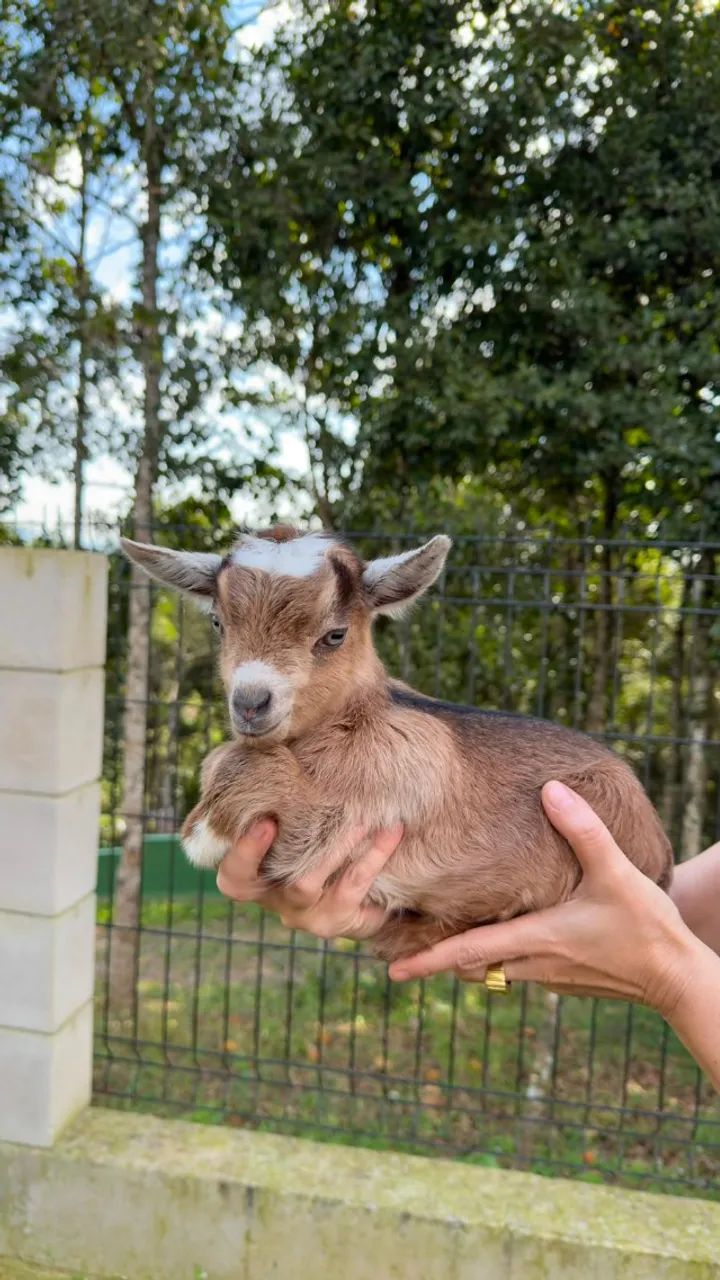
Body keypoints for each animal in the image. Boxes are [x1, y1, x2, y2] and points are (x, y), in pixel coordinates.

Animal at [122, 527, 673, 962]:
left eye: (335, 635)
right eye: (218, 623)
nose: (251, 703)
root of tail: (662, 864)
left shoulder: (368, 809)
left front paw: (203, 831)